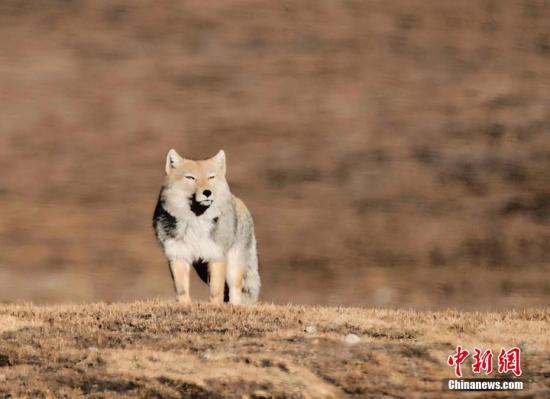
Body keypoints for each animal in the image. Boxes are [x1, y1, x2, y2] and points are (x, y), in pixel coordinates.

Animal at [153, 151, 260, 306]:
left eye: (211, 177)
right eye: (191, 178)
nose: (207, 192)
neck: (196, 222)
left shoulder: (216, 256)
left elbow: (216, 291)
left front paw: (216, 307)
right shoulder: (177, 256)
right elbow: (182, 290)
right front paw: (185, 306)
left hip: (232, 267)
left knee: (235, 291)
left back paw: (233, 306)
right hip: (202, 270)